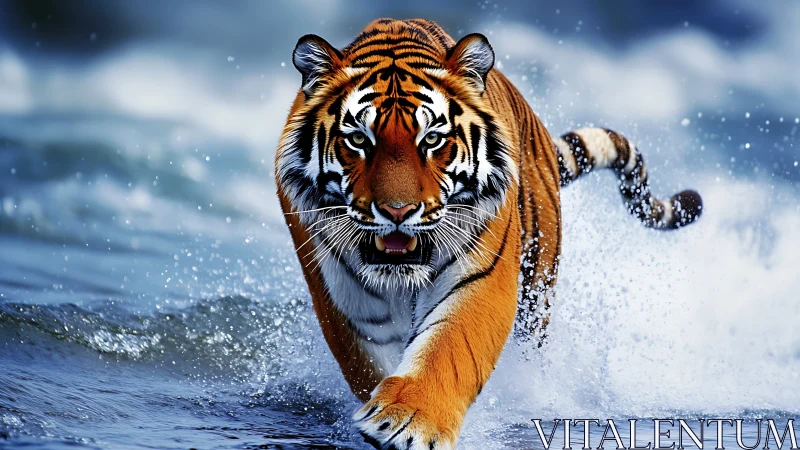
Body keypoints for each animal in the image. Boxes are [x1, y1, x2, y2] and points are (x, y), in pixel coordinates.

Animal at [275, 18, 702, 450]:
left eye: (432, 139)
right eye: (359, 139)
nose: (397, 212)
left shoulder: (482, 276)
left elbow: (449, 347)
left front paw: (409, 419)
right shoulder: (345, 300)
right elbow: (369, 362)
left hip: (537, 291)